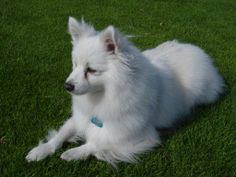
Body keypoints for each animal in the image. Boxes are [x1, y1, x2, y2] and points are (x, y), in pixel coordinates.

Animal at [25, 17, 223, 165]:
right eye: (75, 65)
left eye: (91, 70)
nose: (67, 86)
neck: (102, 97)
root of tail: (197, 50)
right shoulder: (80, 117)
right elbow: (61, 134)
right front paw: (42, 149)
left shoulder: (141, 136)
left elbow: (98, 143)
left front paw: (74, 153)